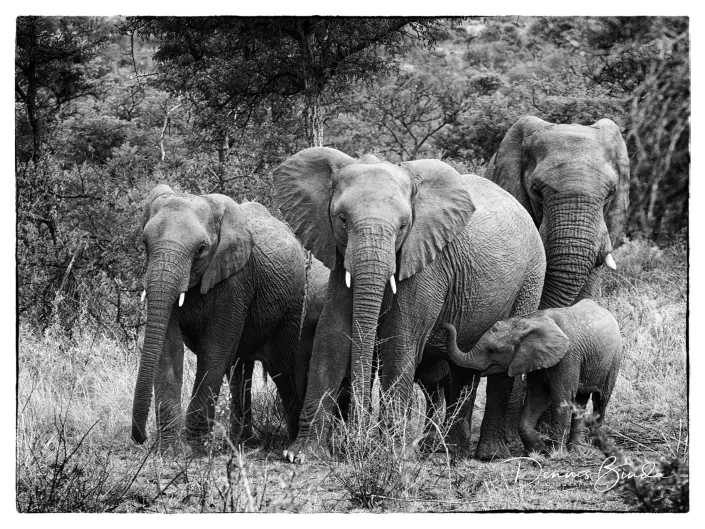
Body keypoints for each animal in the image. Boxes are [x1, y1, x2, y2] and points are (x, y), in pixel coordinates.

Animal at [132, 184, 327, 450]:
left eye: (201, 249)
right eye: (145, 243)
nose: (140, 438)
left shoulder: (237, 281)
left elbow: (214, 349)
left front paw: (195, 448)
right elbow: (168, 349)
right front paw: (170, 448)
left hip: (294, 304)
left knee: (282, 369)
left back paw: (290, 441)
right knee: (239, 371)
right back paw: (241, 441)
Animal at [273, 147, 546, 462]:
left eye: (403, 225)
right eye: (342, 219)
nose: (356, 441)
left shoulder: (428, 259)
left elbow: (400, 339)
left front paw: (388, 454)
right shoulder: (339, 256)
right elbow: (332, 335)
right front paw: (301, 454)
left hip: (531, 276)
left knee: (504, 362)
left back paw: (488, 454)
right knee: (463, 368)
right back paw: (451, 452)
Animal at [443, 299, 622, 453]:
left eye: (491, 350)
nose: (444, 325)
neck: (529, 321)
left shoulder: (568, 356)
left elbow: (561, 398)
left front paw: (555, 453)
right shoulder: (536, 358)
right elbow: (537, 397)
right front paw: (537, 450)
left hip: (614, 358)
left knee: (601, 399)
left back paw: (595, 445)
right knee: (581, 401)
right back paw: (576, 449)